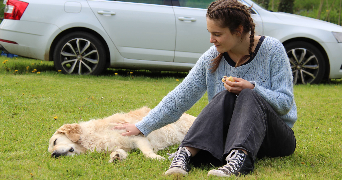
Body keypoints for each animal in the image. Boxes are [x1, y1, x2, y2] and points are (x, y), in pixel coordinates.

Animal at [49, 106, 196, 162]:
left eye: (55, 141)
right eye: (50, 149)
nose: (53, 154)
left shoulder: (136, 136)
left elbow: (147, 152)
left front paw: (156, 157)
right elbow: (119, 151)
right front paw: (116, 157)